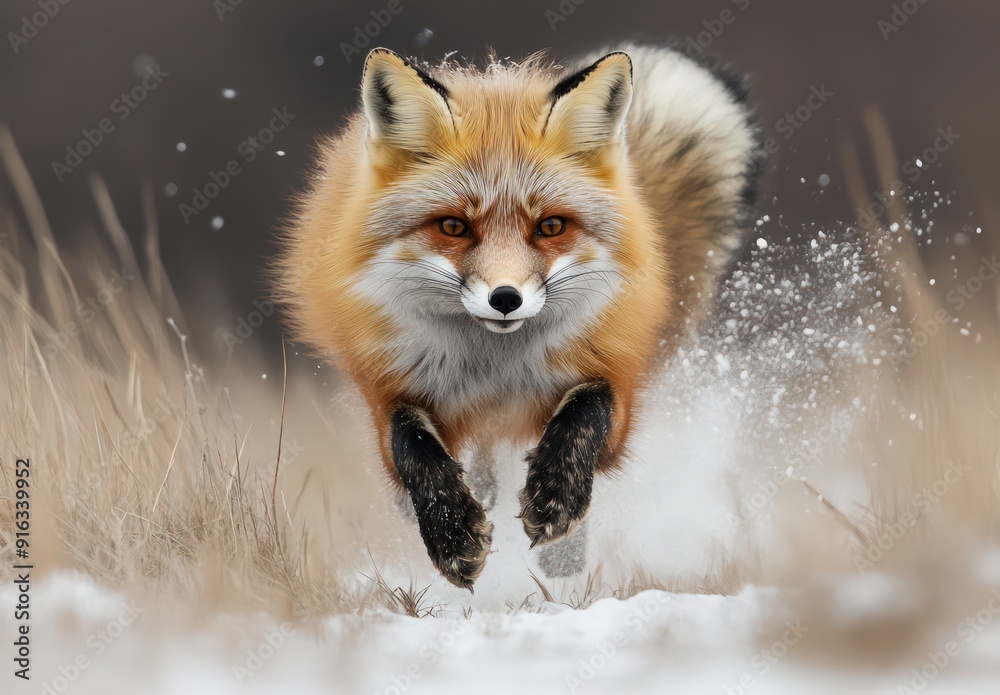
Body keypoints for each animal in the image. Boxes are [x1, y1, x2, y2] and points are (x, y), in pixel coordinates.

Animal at [276, 43, 763, 590]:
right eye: (453, 226)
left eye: (550, 226)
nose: (505, 297)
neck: (496, 370)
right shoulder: (390, 388)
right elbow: (412, 447)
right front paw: (453, 536)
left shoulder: (615, 381)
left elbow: (585, 413)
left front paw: (556, 502)